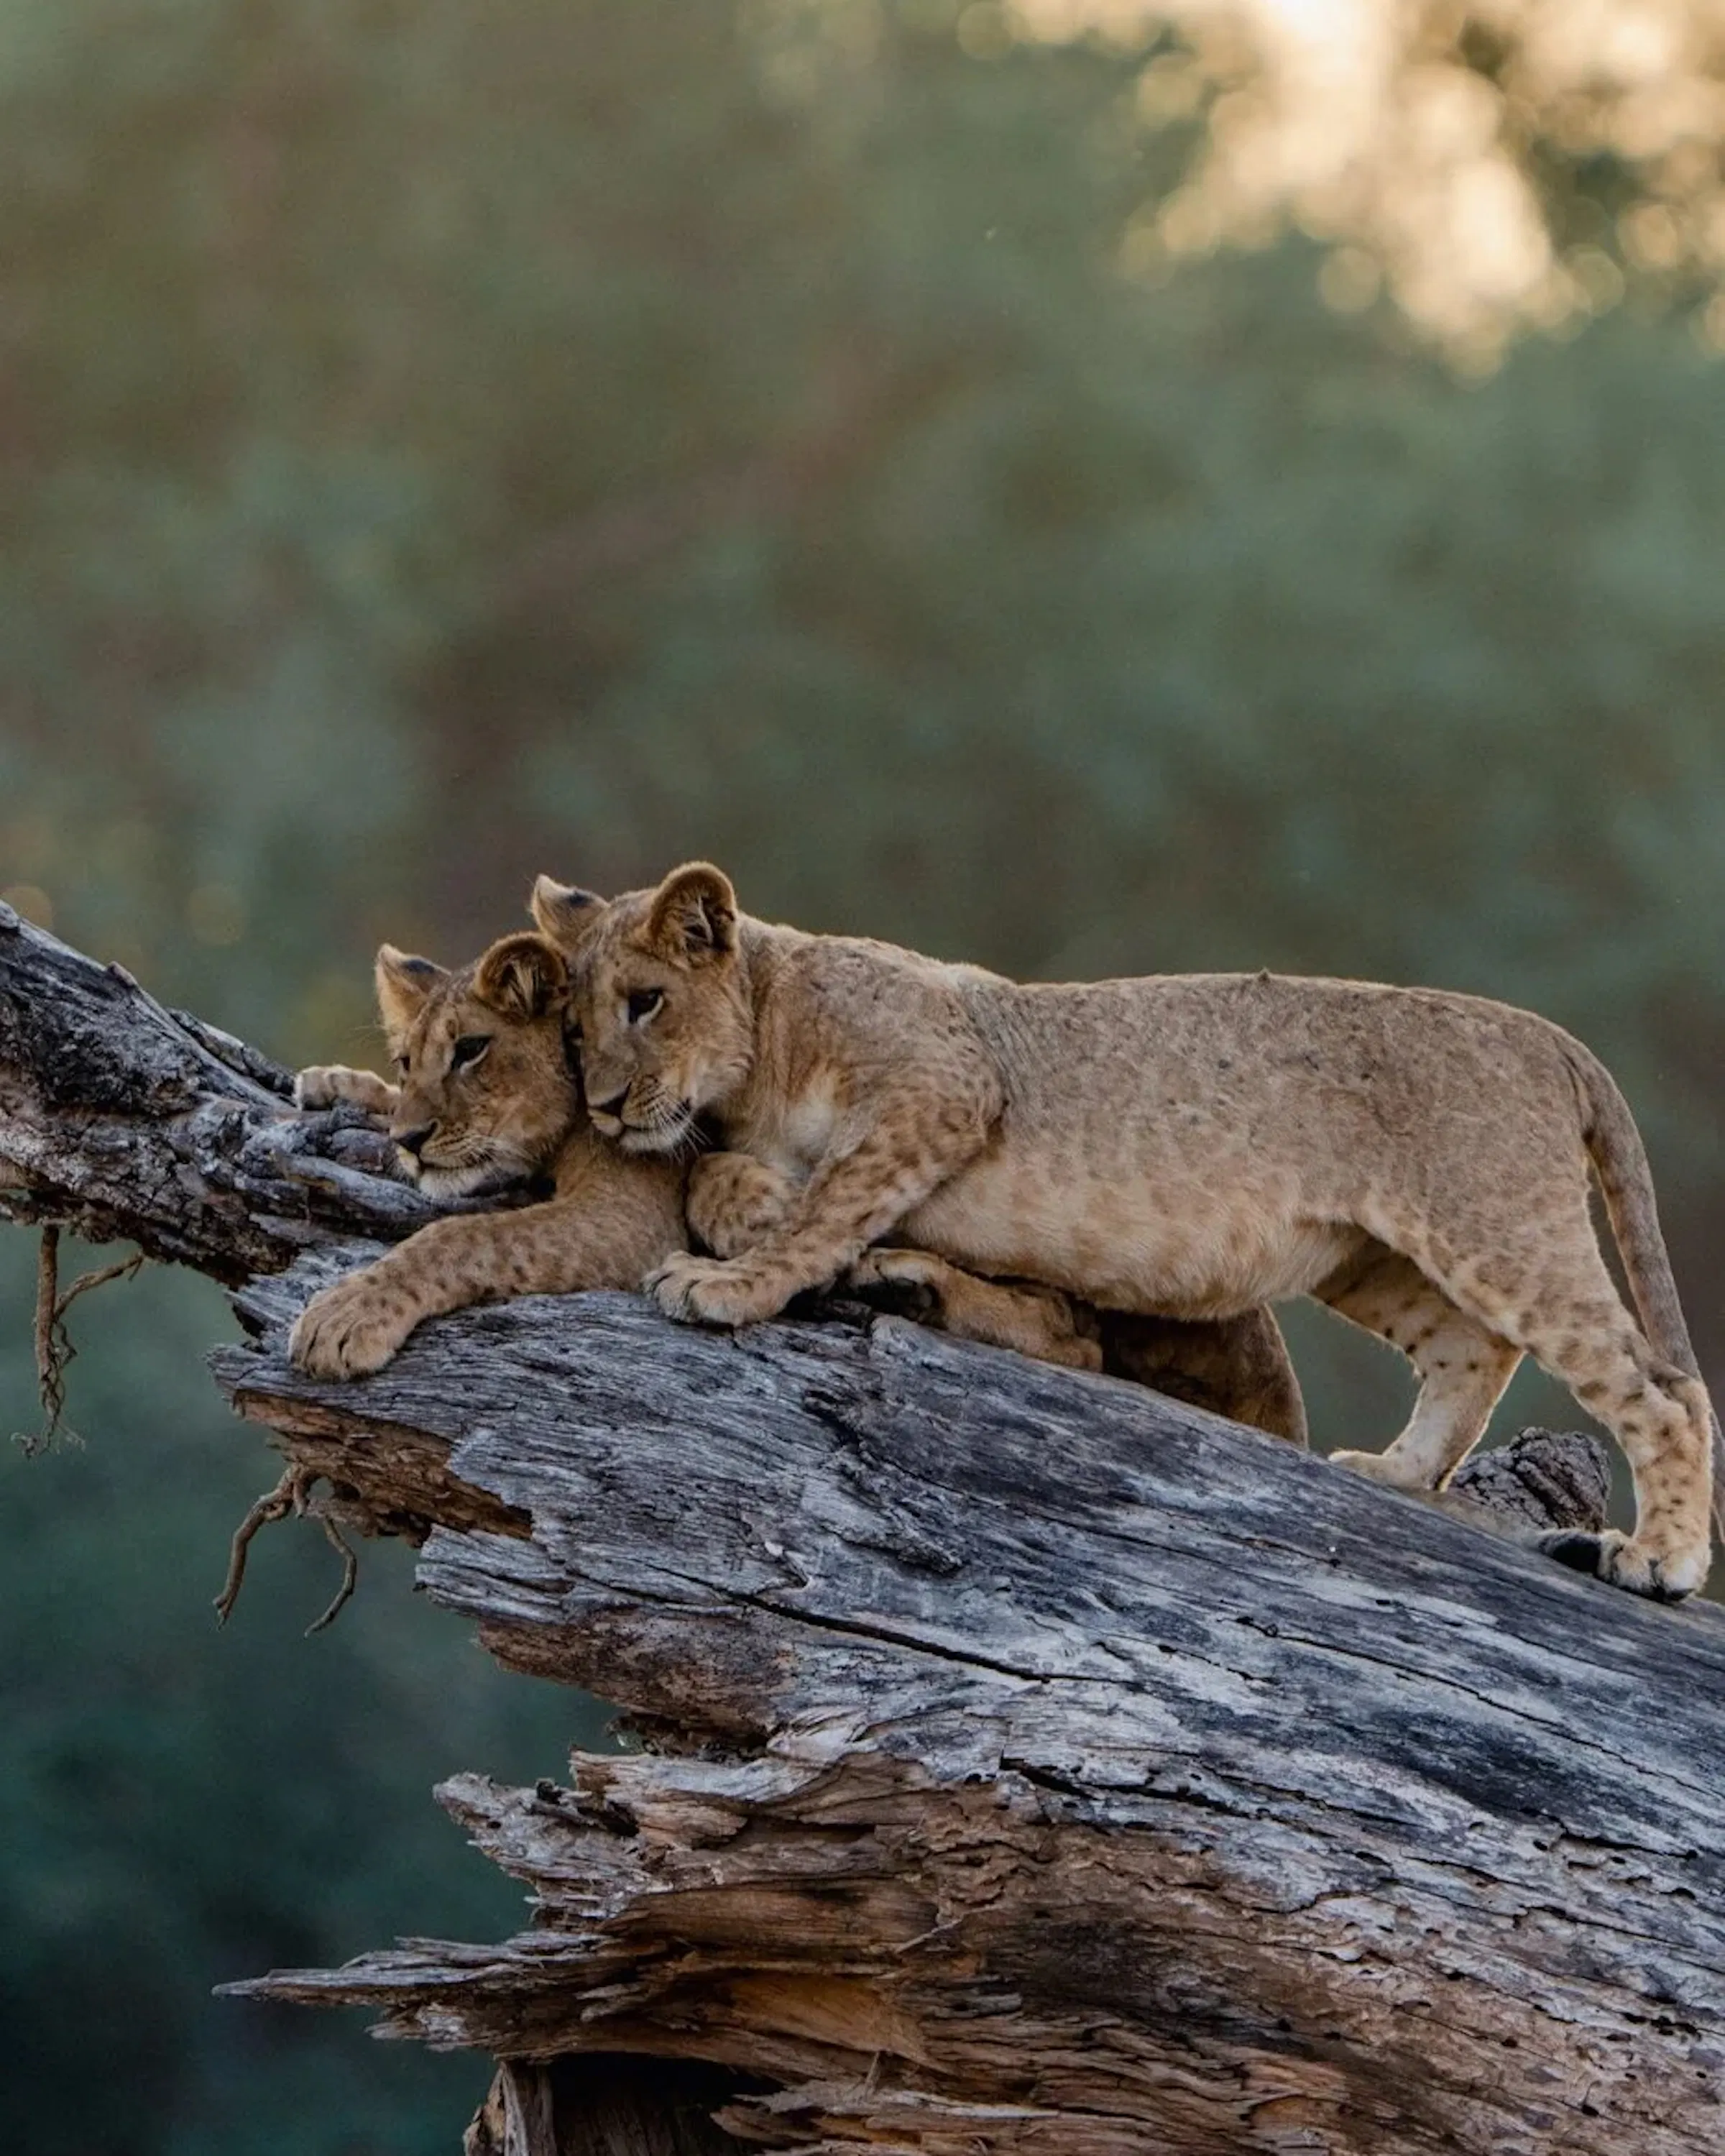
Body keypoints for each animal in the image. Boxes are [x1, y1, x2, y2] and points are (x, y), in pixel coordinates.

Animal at [289, 927, 1309, 1442]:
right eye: (410, 1058)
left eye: (473, 1050)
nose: (413, 1140)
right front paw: (335, 1084)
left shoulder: (624, 1211)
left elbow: (457, 1236)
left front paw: (347, 1317)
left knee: (1077, 1336)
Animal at [536, 860, 1720, 1601]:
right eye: (572, 1026)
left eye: (646, 1001)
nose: (604, 1104)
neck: (767, 1032)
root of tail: (1549, 1034)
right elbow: (732, 1177)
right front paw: (796, 1231)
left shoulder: (947, 1085)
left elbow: (827, 1195)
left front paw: (743, 1281)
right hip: (1368, 1251)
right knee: (1476, 1348)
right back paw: (1394, 1471)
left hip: (1494, 1222)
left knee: (1658, 1390)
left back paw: (1660, 1559)